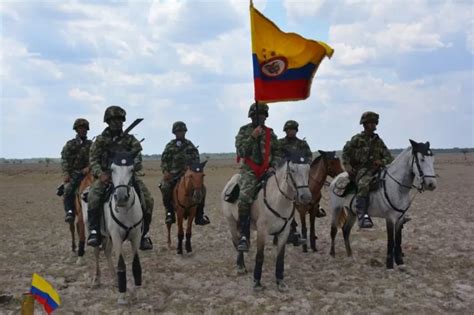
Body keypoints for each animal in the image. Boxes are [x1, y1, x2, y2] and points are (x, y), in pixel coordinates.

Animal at [221, 154, 312, 292]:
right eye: (292, 170)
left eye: (308, 170)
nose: (305, 197)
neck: (278, 199)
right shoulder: (262, 231)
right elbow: (260, 256)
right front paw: (257, 282)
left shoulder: (284, 232)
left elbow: (280, 257)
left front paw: (280, 282)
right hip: (231, 221)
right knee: (236, 243)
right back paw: (240, 266)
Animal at [330, 140, 436, 270]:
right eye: (422, 159)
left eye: (432, 159)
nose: (431, 185)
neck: (396, 186)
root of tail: (336, 179)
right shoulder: (390, 218)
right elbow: (391, 241)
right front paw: (389, 265)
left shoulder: (400, 218)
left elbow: (398, 239)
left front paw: (400, 262)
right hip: (336, 208)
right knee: (334, 230)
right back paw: (332, 254)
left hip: (352, 212)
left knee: (345, 230)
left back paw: (350, 255)